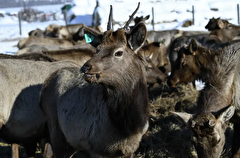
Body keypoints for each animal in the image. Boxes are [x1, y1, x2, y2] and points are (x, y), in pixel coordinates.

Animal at [40, 2, 150, 158]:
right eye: (97, 49)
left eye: (119, 52)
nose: (86, 67)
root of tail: (44, 86)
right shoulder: (97, 148)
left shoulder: (130, 150)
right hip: (56, 132)